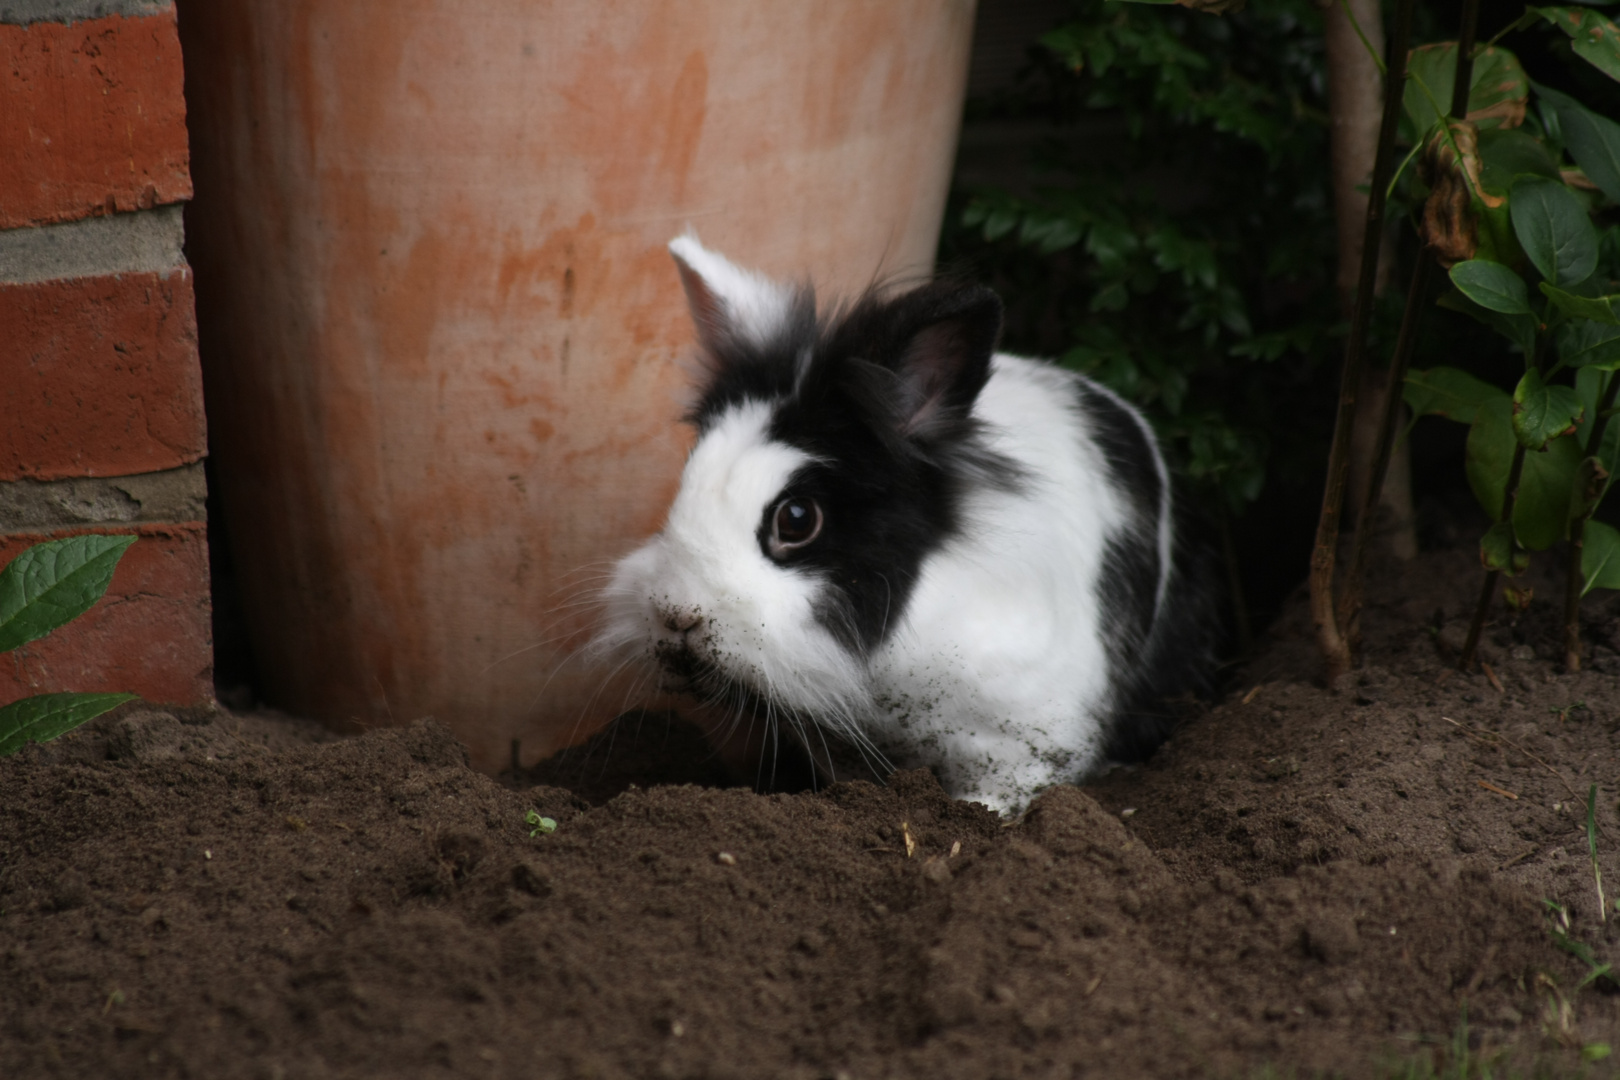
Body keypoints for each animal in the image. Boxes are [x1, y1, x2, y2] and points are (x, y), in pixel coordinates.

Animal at [596, 234, 1218, 809]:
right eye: (687, 478)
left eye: (796, 519)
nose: (677, 613)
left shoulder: (1025, 744)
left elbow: (997, 797)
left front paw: (968, 820)